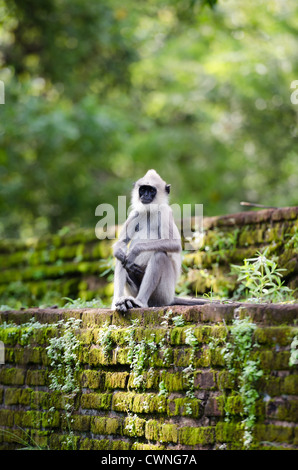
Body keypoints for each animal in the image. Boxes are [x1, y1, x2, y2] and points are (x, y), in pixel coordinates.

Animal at [112, 169, 210, 312]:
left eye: (151, 190)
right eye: (143, 189)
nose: (145, 195)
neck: (150, 211)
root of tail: (171, 298)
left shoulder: (165, 211)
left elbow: (174, 245)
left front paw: (135, 251)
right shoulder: (135, 213)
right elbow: (122, 243)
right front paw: (120, 252)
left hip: (163, 293)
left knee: (159, 256)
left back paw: (140, 302)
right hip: (134, 291)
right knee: (121, 257)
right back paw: (119, 302)